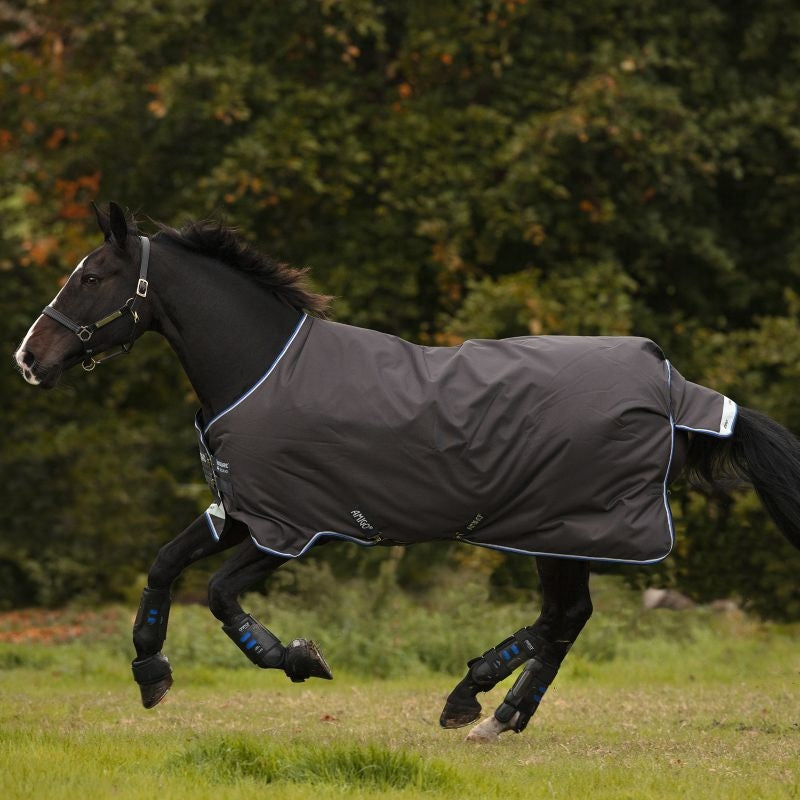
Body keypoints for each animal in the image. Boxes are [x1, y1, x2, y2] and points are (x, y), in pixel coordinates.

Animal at [14, 202, 800, 743]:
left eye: (91, 276)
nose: (29, 359)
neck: (260, 371)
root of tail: (672, 386)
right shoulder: (242, 509)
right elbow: (163, 565)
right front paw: (152, 676)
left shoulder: (296, 528)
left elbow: (217, 593)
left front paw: (299, 658)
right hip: (561, 533)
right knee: (566, 620)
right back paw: (497, 716)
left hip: (561, 529)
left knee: (564, 618)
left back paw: (473, 699)